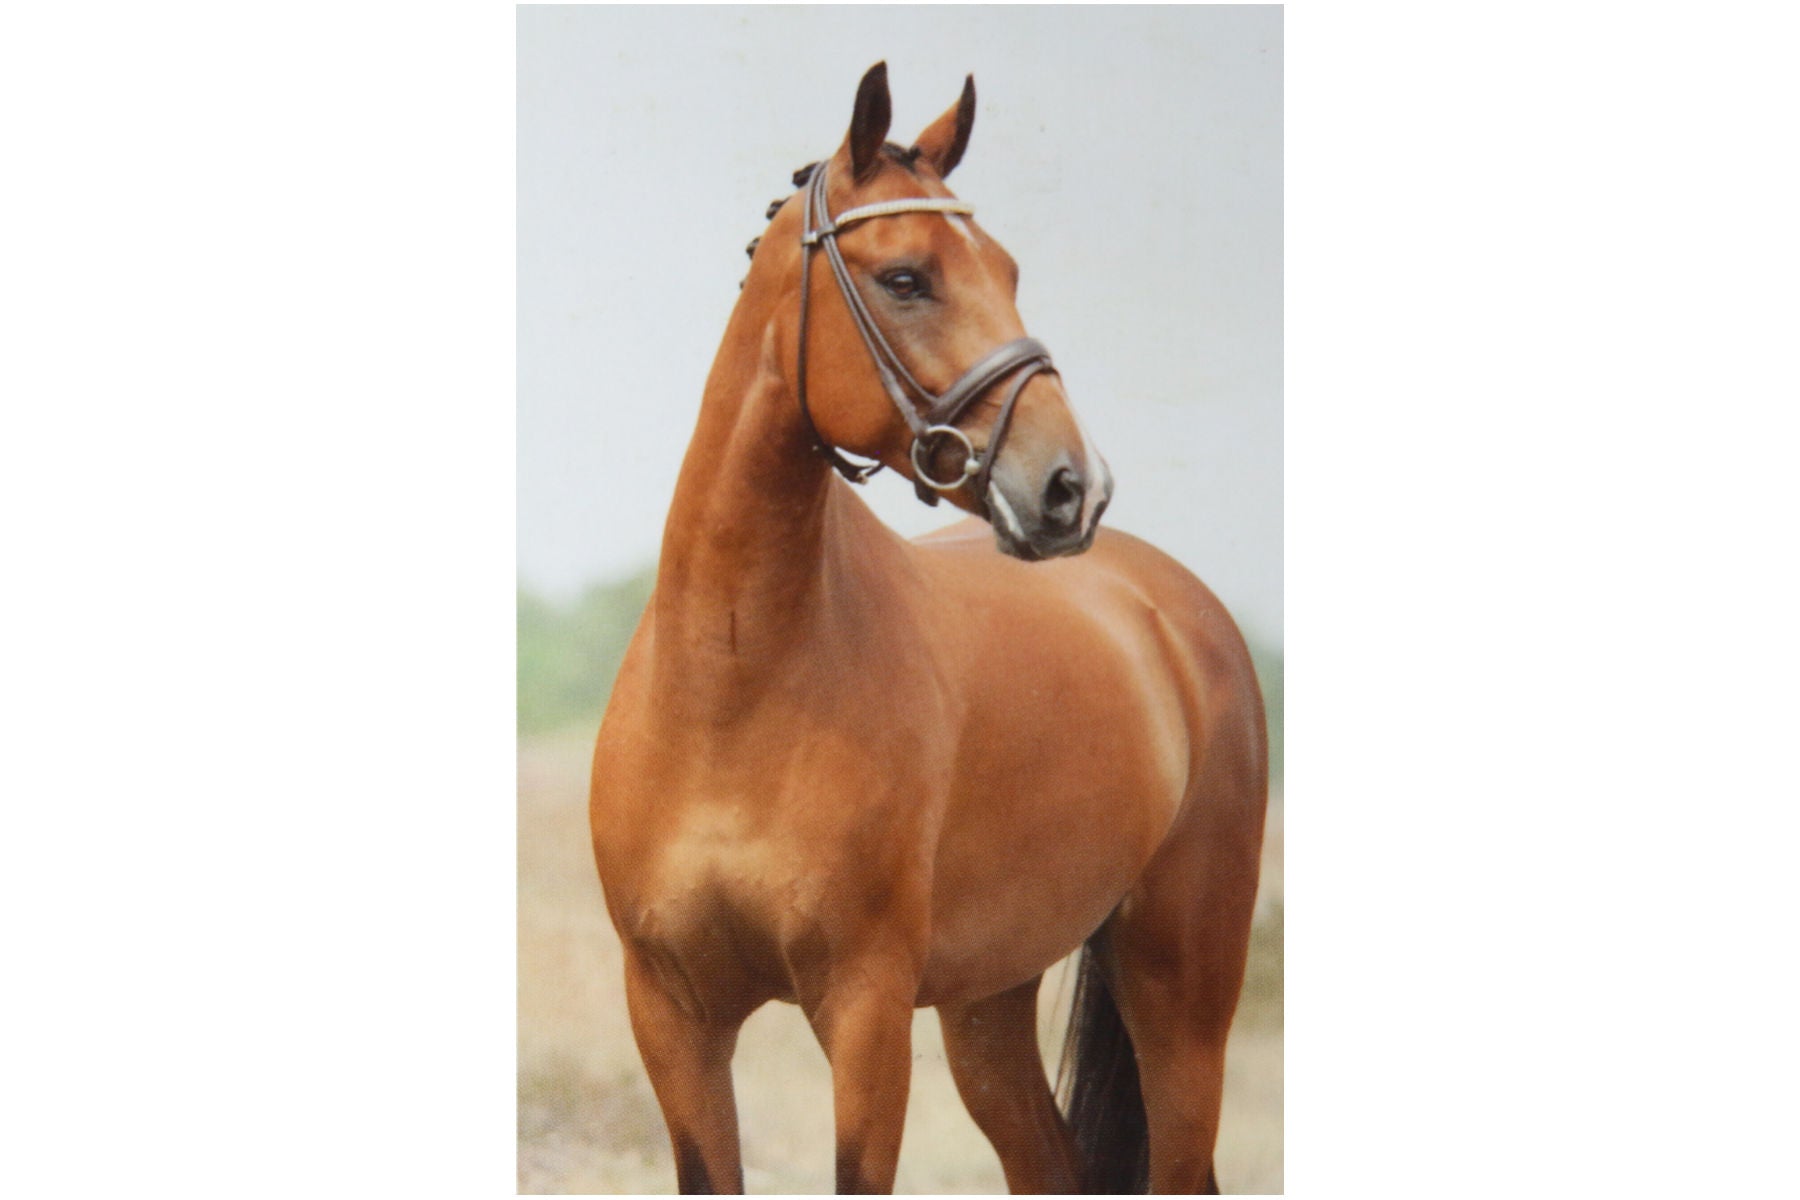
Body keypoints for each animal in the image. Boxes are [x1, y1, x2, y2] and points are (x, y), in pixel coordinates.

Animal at [589, 62, 1267, 1194]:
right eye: (906, 277)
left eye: (1008, 267)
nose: (1071, 486)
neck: (732, 683)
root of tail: (1170, 608)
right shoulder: (674, 1017)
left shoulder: (865, 1011)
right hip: (988, 1004)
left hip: (1180, 991)